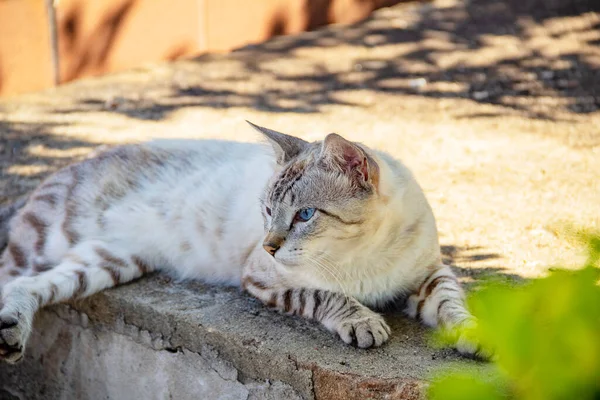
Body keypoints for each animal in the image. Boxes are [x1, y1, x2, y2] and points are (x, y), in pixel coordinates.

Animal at [0, 122, 480, 362]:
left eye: (304, 215)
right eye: (266, 210)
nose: (270, 245)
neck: (363, 254)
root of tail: (68, 163)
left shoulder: (429, 272)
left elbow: (453, 303)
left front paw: (475, 337)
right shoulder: (262, 277)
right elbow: (326, 297)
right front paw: (364, 322)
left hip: (108, 263)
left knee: (28, 287)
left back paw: (11, 334)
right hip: (47, 244)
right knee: (13, 277)